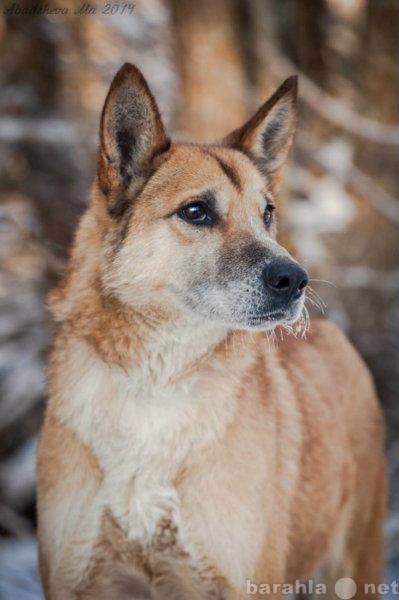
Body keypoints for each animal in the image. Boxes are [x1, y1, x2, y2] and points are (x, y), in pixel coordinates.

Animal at [37, 63, 388, 596]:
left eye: (267, 213)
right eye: (196, 211)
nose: (296, 280)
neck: (155, 388)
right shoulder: (77, 578)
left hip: (354, 564)